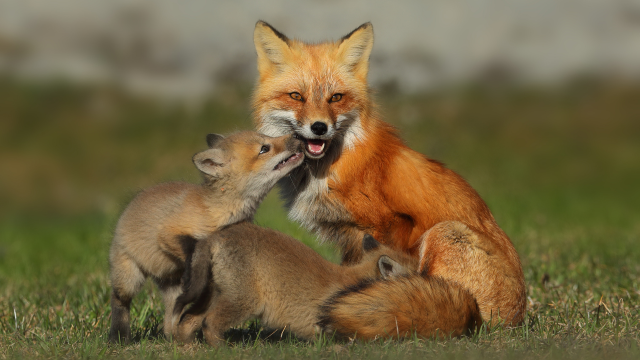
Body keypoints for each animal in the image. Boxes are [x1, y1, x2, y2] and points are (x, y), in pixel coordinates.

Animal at [250, 20, 524, 338]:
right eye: (296, 96)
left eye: (336, 98)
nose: (319, 127)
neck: (331, 166)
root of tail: (511, 319)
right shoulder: (350, 238)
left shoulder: (389, 223)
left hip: (444, 233)